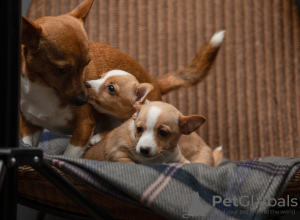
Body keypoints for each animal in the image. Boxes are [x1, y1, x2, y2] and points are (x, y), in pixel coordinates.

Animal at [19, 0, 224, 156]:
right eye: (61, 70)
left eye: (86, 64)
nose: (83, 99)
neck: (44, 88)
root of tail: (155, 81)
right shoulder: (29, 127)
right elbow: (27, 144)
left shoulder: (84, 127)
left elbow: (71, 154)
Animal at [83, 100, 221, 166]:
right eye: (139, 129)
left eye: (163, 132)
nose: (143, 149)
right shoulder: (117, 153)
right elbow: (130, 163)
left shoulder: (178, 159)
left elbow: (188, 164)